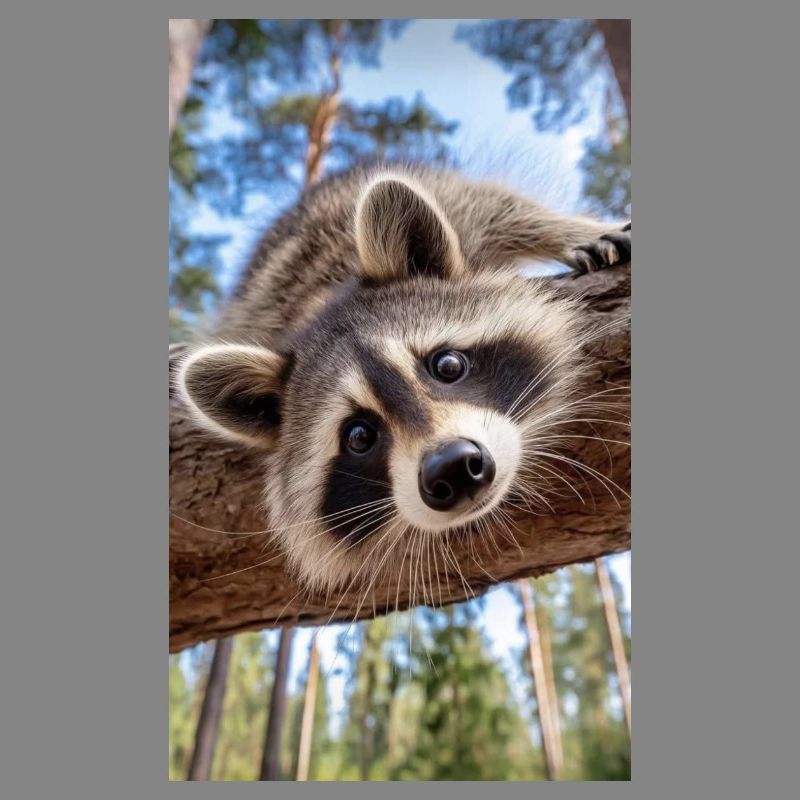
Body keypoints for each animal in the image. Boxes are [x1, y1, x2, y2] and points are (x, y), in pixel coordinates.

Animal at [175, 163, 630, 595]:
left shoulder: (463, 211)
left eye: (447, 366)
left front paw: (572, 231)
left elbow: (502, 207)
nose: (453, 468)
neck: (321, 302)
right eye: (358, 436)